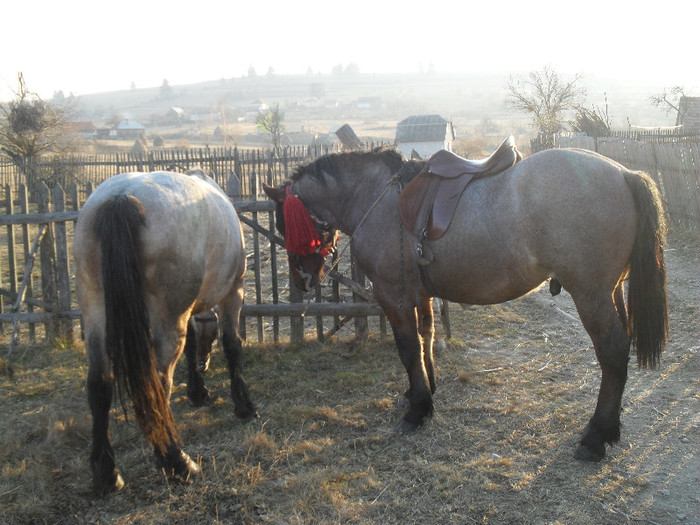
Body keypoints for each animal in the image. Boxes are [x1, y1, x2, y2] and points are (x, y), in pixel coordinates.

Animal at [73, 170, 258, 494]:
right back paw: (177, 461)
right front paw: (244, 404)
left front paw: (198, 390)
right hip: (167, 320)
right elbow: (232, 345)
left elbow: (192, 342)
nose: (204, 364)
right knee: (158, 384)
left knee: (99, 383)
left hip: (95, 311)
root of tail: (121, 197)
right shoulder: (233, 291)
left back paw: (107, 473)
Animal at [266, 142, 668, 458]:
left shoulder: (393, 297)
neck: (380, 199)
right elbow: (426, 339)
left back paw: (595, 437)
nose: (303, 279)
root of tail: (624, 173)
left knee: (612, 351)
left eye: (285, 223)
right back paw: (610, 429)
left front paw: (418, 409)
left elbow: (408, 348)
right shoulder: (420, 295)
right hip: (611, 292)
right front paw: (423, 392)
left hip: (591, 295)